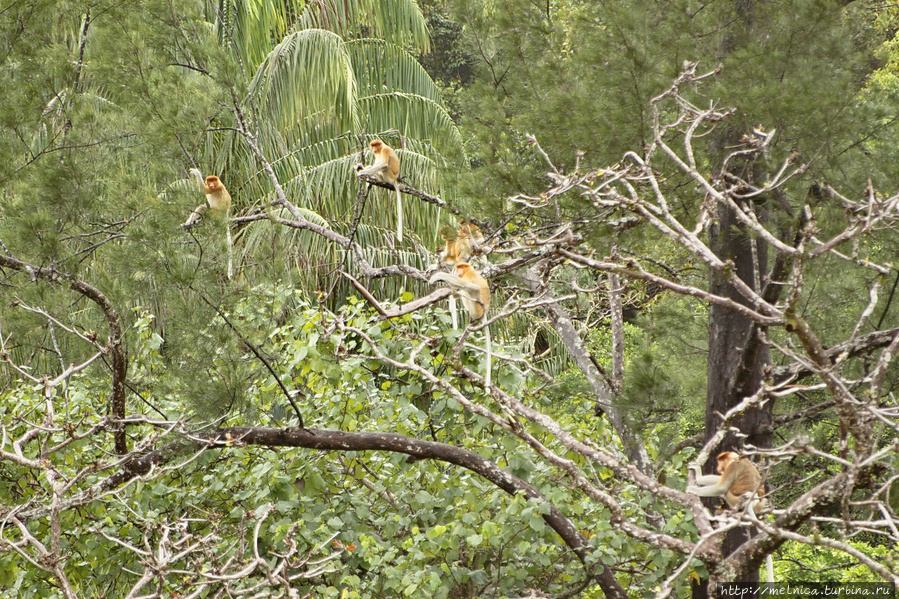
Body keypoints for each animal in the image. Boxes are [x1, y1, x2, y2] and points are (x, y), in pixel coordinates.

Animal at [428, 262, 492, 390]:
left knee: (466, 291)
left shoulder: (468, 277)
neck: (469, 271)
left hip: (476, 308)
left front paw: (437, 276)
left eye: (461, 267)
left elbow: (473, 288)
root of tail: (484, 312)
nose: (457, 271)